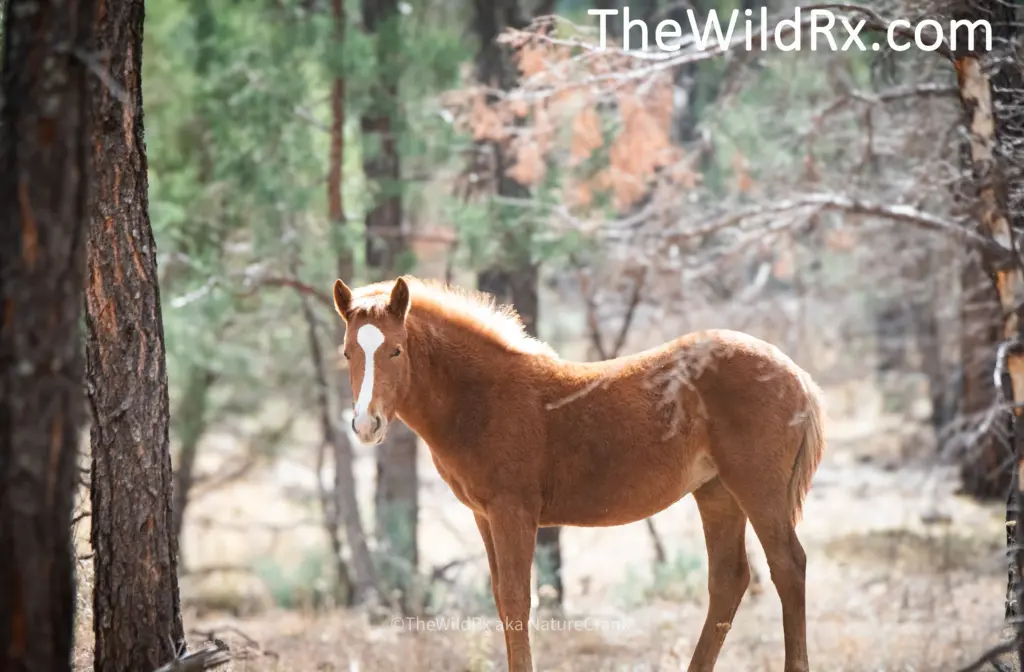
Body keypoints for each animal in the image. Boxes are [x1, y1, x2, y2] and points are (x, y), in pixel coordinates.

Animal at [331, 274, 826, 672]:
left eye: (396, 350)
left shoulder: (514, 512)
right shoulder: (484, 515)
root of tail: (797, 374)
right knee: (729, 578)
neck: (482, 397)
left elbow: (518, 599)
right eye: (347, 352)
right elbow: (502, 598)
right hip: (717, 492)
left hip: (758, 489)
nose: (366, 424)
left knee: (788, 566)